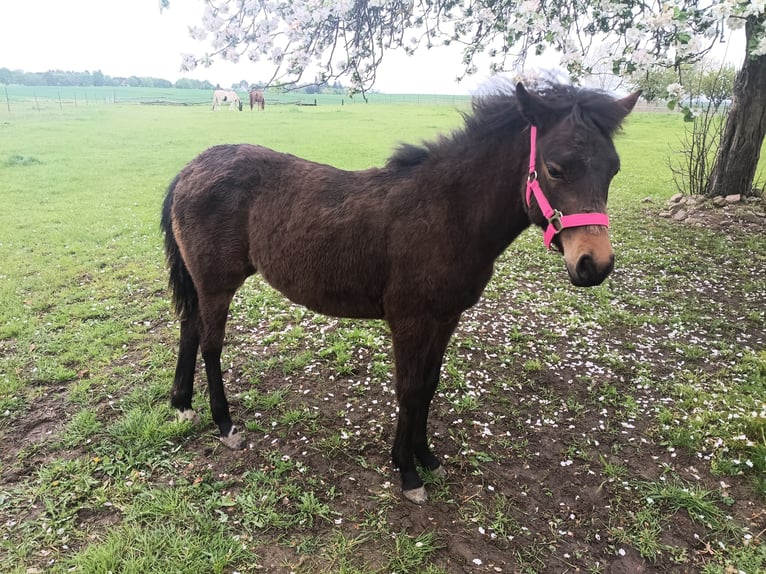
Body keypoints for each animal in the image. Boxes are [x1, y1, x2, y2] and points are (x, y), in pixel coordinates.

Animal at [161, 81, 640, 504]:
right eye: (555, 168)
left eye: (614, 168)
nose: (594, 264)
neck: (447, 214)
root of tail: (191, 168)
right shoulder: (410, 321)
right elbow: (408, 389)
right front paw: (408, 473)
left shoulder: (445, 318)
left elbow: (428, 385)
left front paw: (427, 458)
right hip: (217, 283)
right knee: (210, 344)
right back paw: (226, 425)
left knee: (189, 327)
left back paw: (182, 405)